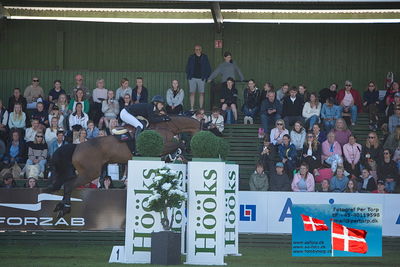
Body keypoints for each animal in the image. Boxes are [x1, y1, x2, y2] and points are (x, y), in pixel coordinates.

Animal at [45, 116, 200, 219]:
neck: (167, 127)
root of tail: (77, 147)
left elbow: (177, 152)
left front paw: (179, 156)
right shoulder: (162, 147)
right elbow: (179, 145)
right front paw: (181, 152)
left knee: (67, 184)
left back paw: (61, 207)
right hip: (90, 173)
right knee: (69, 185)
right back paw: (64, 208)